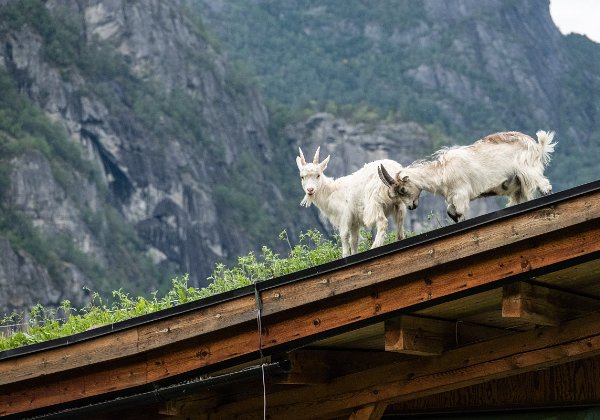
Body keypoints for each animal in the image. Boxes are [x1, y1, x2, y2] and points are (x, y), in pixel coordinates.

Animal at [378, 130, 556, 223]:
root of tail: (536, 145)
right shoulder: (452, 197)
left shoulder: (460, 194)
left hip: (529, 170)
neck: (442, 171)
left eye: (402, 189)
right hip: (518, 184)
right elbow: (451, 212)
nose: (411, 206)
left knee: (545, 186)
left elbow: (460, 213)